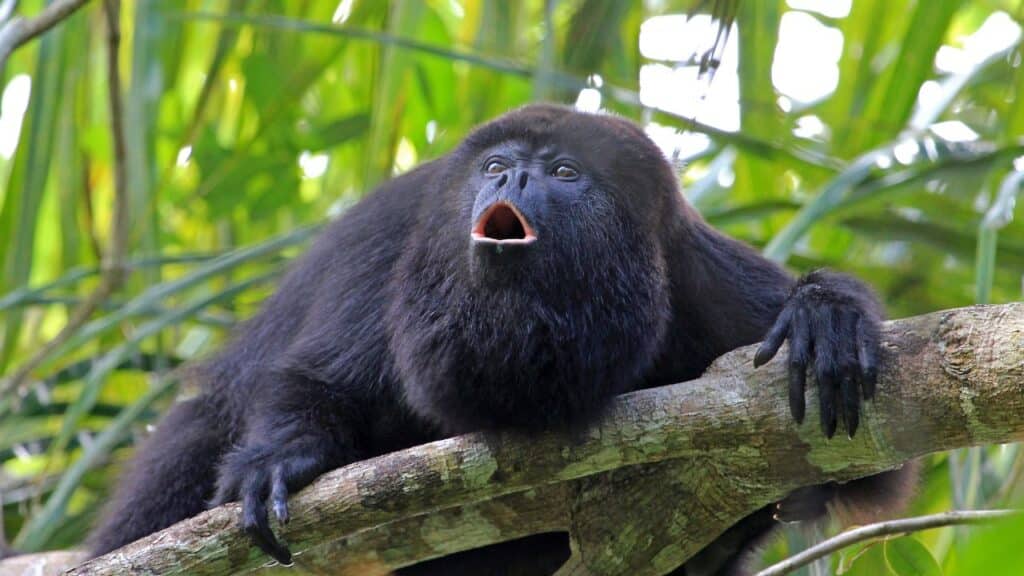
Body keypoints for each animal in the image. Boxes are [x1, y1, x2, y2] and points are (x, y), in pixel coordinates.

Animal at [88, 104, 914, 575]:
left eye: (564, 170)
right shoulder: (401, 237)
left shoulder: (696, 273)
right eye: (493, 165)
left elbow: (866, 468)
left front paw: (823, 315)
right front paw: (279, 459)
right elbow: (320, 379)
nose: (509, 180)